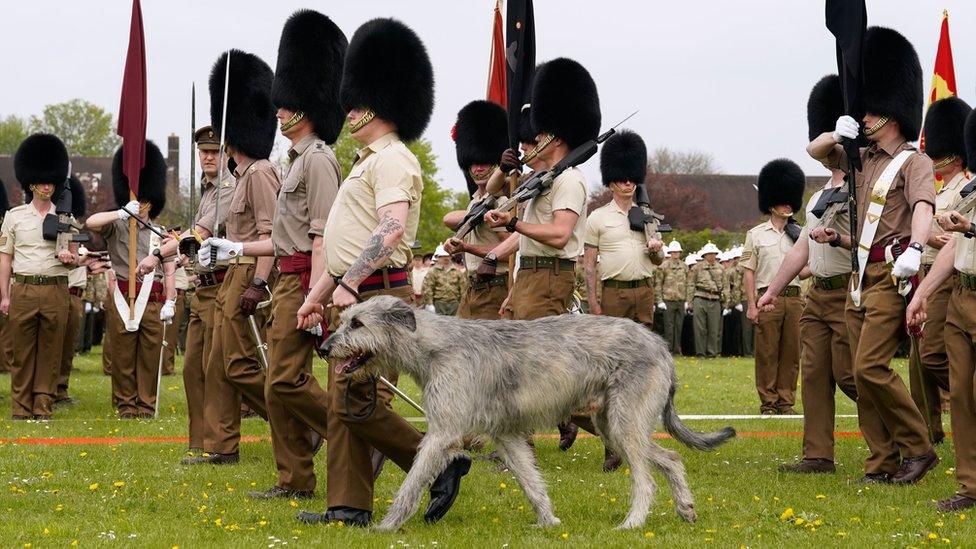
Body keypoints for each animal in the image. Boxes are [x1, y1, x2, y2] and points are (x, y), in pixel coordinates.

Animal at [324, 296, 736, 532]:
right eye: (343, 319)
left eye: (357, 323)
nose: (325, 347)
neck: (433, 347)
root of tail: (661, 345)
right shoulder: (505, 434)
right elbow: (530, 481)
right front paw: (548, 521)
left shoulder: (443, 432)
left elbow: (411, 483)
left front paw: (386, 527)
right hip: (613, 424)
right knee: (670, 458)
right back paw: (686, 508)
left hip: (624, 421)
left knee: (646, 478)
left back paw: (633, 523)